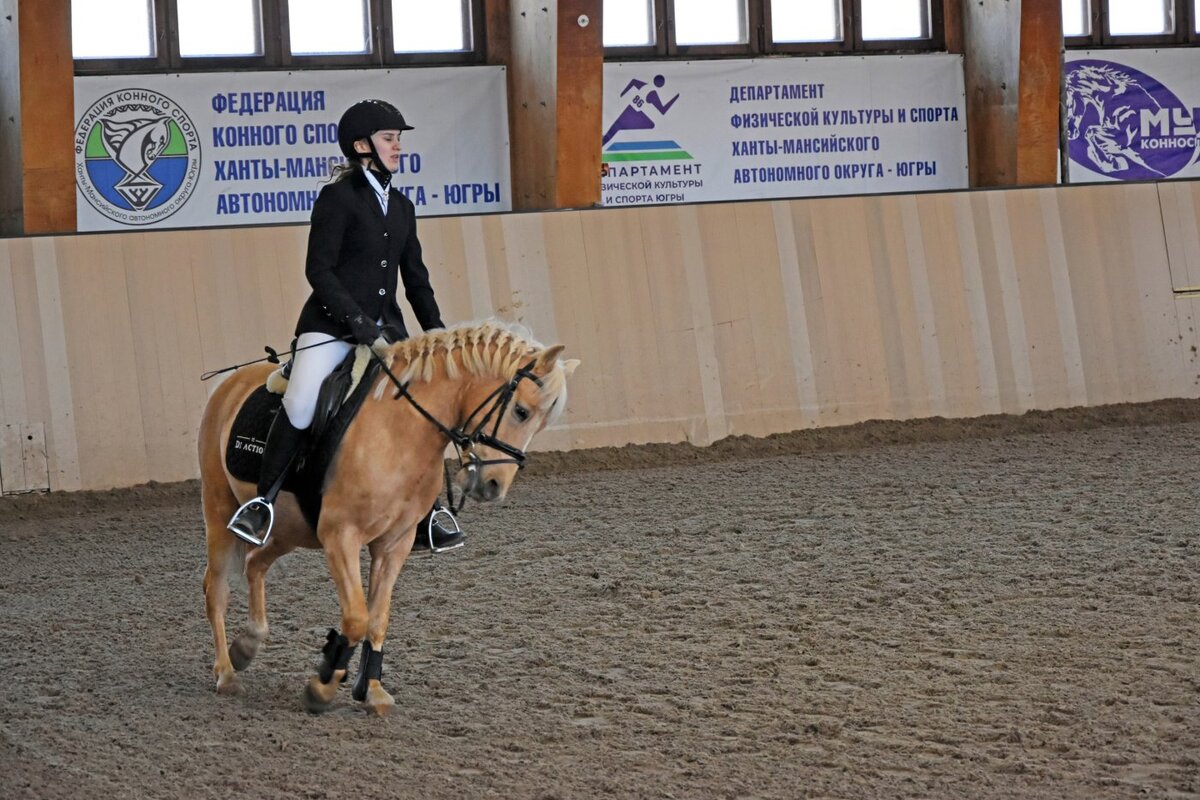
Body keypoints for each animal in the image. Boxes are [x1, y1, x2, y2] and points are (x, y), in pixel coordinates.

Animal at [199, 321, 578, 714]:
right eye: (521, 411)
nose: (492, 486)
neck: (401, 431)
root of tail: (229, 383)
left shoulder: (395, 542)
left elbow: (378, 618)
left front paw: (372, 691)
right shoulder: (341, 536)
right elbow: (356, 617)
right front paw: (321, 687)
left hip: (291, 529)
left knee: (255, 563)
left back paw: (247, 645)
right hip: (218, 506)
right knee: (216, 588)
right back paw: (226, 673)